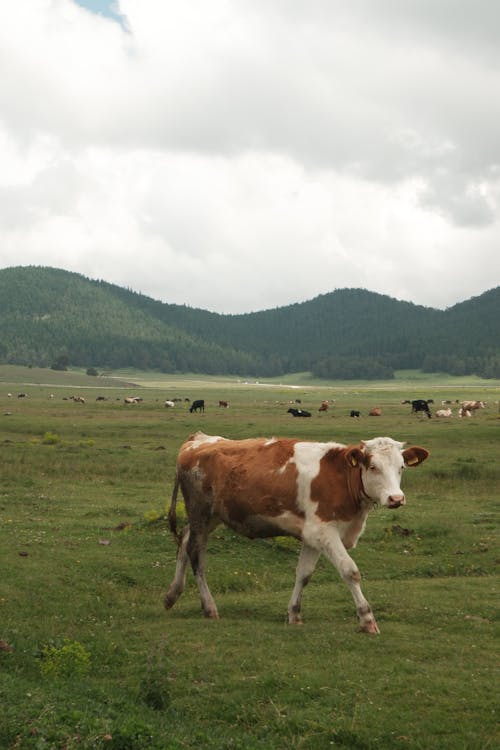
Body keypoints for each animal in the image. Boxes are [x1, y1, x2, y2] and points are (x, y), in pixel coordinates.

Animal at [165, 434, 430, 636]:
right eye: (374, 467)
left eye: (401, 468)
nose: (396, 498)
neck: (341, 477)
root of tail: (198, 440)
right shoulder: (324, 531)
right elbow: (350, 571)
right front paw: (367, 620)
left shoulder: (313, 535)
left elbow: (304, 574)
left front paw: (294, 613)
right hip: (200, 513)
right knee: (196, 556)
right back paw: (209, 607)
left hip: (211, 517)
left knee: (184, 540)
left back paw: (172, 594)